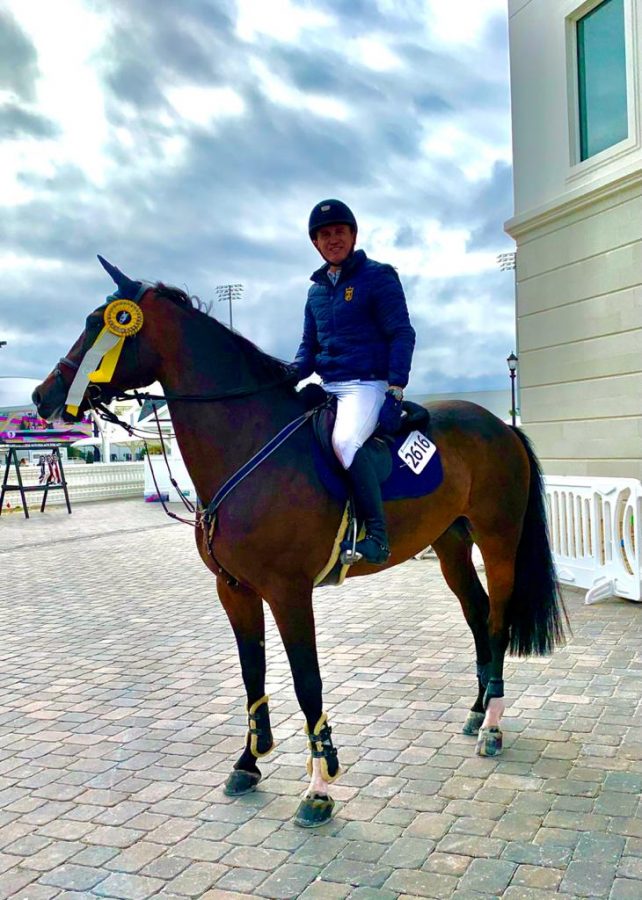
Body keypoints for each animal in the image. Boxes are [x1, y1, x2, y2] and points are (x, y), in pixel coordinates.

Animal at [33, 256, 564, 828]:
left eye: (99, 323)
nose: (43, 397)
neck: (249, 443)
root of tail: (500, 426)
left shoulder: (288, 593)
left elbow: (307, 680)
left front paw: (319, 784)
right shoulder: (234, 589)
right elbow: (253, 672)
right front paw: (248, 761)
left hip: (499, 541)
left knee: (498, 619)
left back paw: (492, 723)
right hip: (450, 546)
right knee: (477, 614)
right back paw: (476, 709)